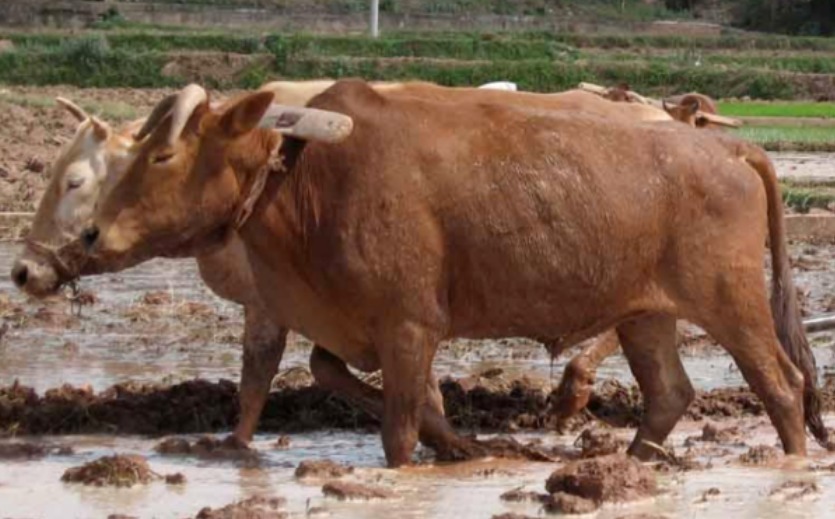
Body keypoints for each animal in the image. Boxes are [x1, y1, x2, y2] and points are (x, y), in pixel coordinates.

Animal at [80, 81, 828, 468]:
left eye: (163, 154)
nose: (89, 234)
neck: (310, 176)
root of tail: (727, 147)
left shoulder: (408, 325)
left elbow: (399, 428)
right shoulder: (364, 326)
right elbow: (336, 372)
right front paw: (466, 444)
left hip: (731, 302)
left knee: (781, 384)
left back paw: (791, 461)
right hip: (646, 314)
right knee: (670, 392)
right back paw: (627, 461)